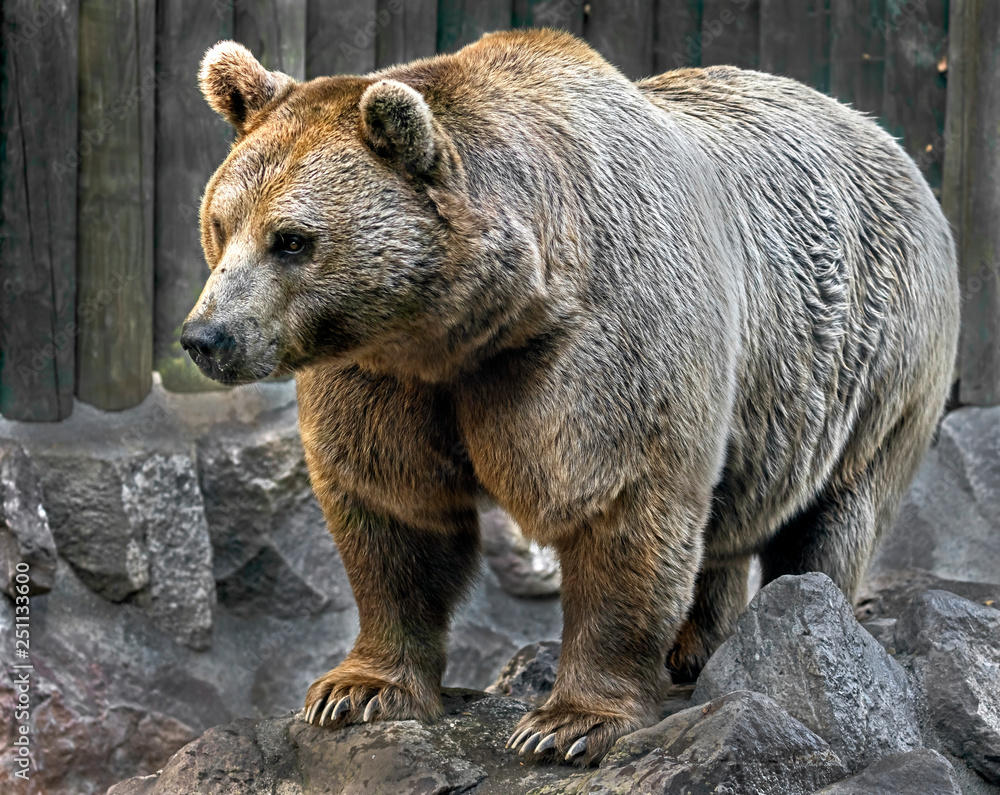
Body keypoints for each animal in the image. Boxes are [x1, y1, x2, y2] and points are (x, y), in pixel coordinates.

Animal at [182, 29, 959, 765]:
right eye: (220, 224)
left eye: (291, 239)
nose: (206, 336)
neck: (465, 327)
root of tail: (881, 135)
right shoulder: (384, 377)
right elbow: (394, 510)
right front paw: (356, 690)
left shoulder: (601, 345)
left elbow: (618, 505)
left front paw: (567, 725)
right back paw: (696, 646)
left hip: (876, 360)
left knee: (834, 513)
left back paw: (809, 624)